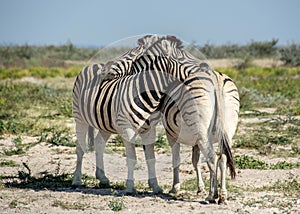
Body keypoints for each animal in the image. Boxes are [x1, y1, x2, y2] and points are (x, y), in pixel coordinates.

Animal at [96, 35, 239, 202]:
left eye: (132, 56)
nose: (103, 72)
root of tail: (215, 78)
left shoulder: (172, 134)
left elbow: (176, 159)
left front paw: (175, 188)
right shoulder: (195, 138)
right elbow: (195, 161)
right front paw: (200, 188)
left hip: (204, 132)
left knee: (212, 158)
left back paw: (212, 195)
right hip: (227, 130)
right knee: (223, 159)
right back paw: (222, 194)